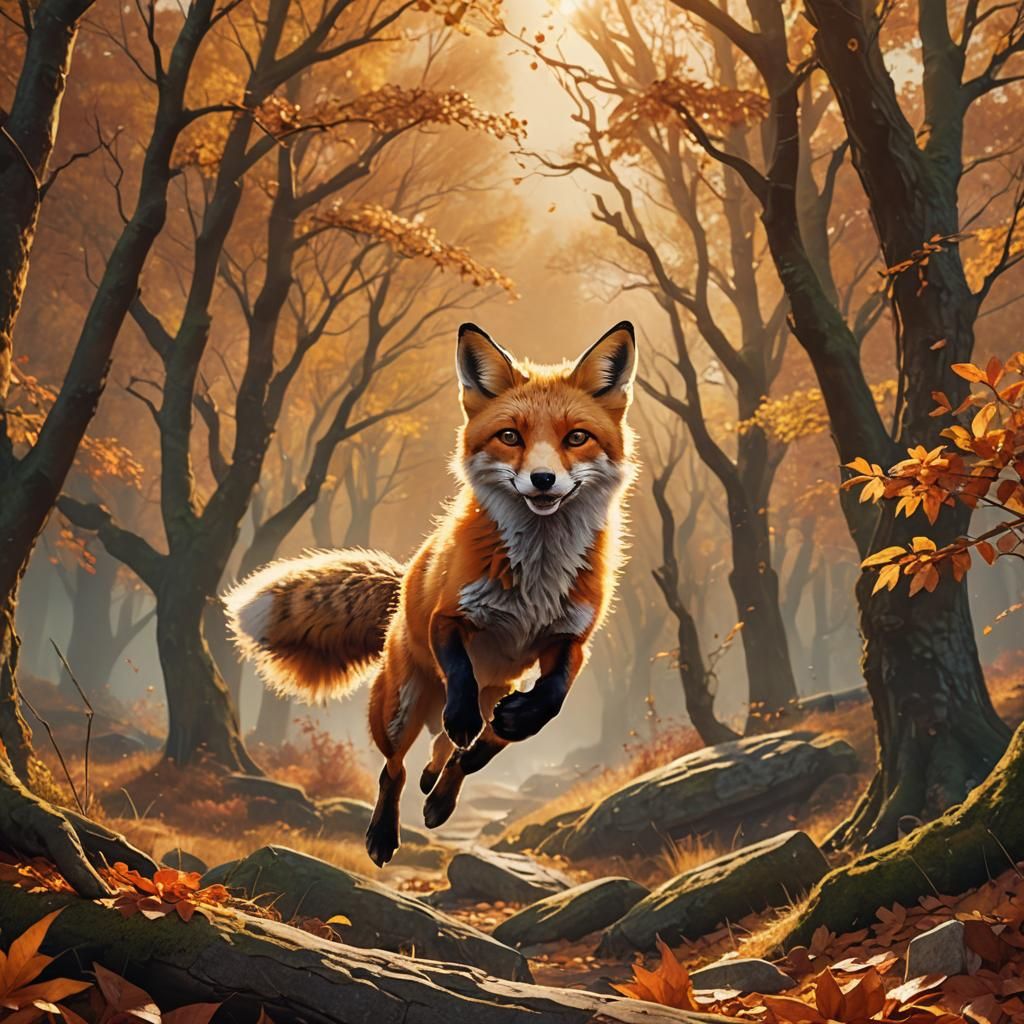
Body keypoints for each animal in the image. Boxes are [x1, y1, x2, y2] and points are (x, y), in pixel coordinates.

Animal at [225, 321, 638, 866]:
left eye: (577, 438)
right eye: (510, 436)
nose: (543, 479)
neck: (534, 576)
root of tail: (399, 590)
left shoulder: (571, 640)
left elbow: (550, 698)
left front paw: (519, 718)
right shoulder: (448, 618)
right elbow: (459, 671)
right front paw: (460, 718)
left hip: (495, 695)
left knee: (464, 752)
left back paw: (441, 793)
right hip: (396, 708)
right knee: (395, 767)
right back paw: (384, 832)